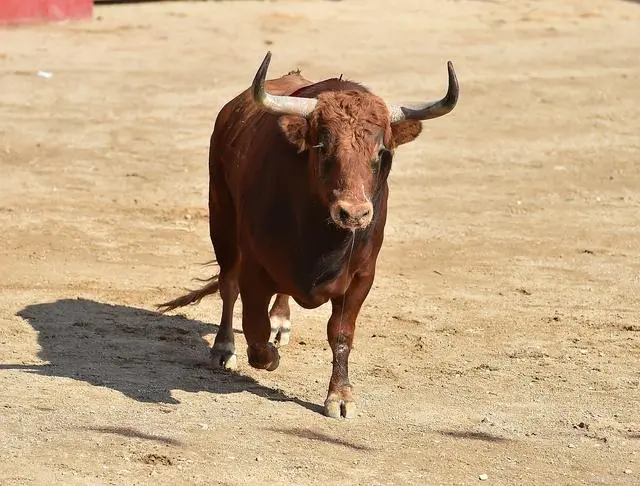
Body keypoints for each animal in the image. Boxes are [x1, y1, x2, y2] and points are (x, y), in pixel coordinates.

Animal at [160, 52, 460, 418]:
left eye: (381, 153)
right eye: (323, 147)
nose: (354, 213)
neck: (322, 241)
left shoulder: (362, 277)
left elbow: (341, 334)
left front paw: (340, 395)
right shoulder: (254, 268)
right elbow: (254, 328)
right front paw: (266, 356)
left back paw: (281, 321)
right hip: (222, 219)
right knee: (228, 284)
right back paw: (224, 347)